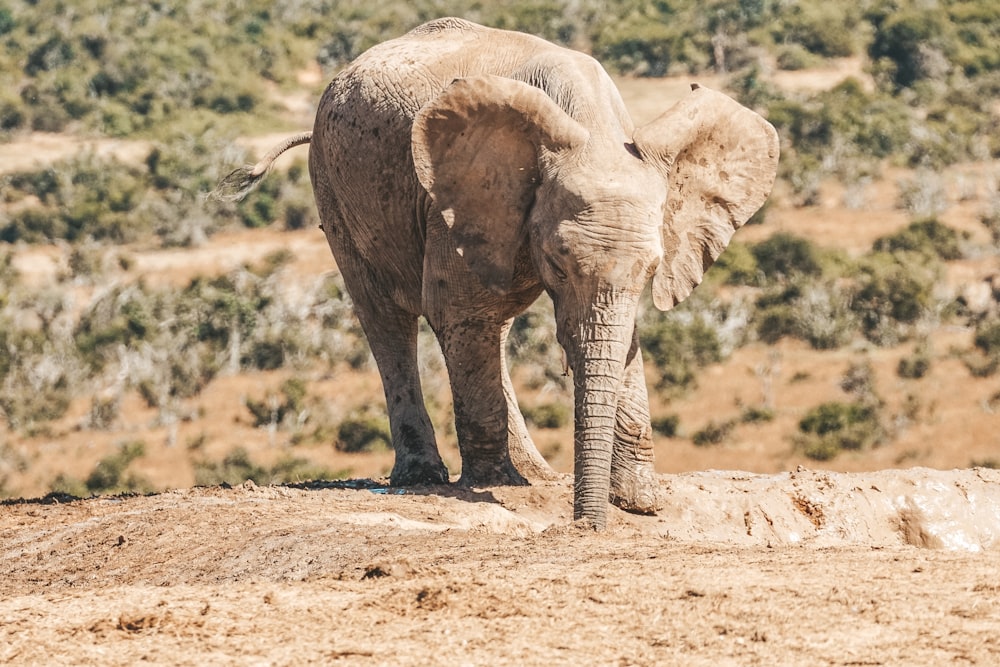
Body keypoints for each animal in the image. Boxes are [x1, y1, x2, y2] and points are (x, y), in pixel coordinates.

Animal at [217, 18, 780, 528]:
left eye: (653, 270)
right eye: (557, 260)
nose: (586, 525)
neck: (592, 128)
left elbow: (622, 339)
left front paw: (641, 502)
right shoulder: (456, 198)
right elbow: (457, 311)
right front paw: (495, 486)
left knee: (493, 328)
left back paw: (536, 474)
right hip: (335, 186)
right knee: (387, 318)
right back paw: (429, 476)